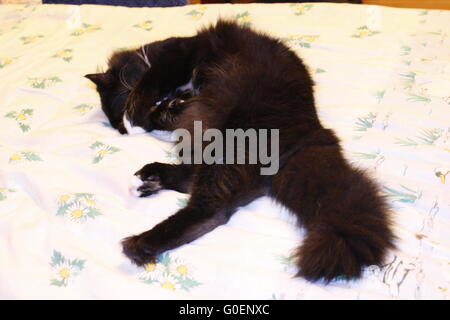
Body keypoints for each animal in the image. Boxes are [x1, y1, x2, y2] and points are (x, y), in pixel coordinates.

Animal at [87, 20, 394, 282]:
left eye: (125, 97)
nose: (160, 111)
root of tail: (311, 132)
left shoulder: (178, 54)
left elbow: (151, 81)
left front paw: (135, 117)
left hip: (233, 143)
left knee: (211, 208)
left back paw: (139, 243)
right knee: (201, 192)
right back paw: (147, 182)